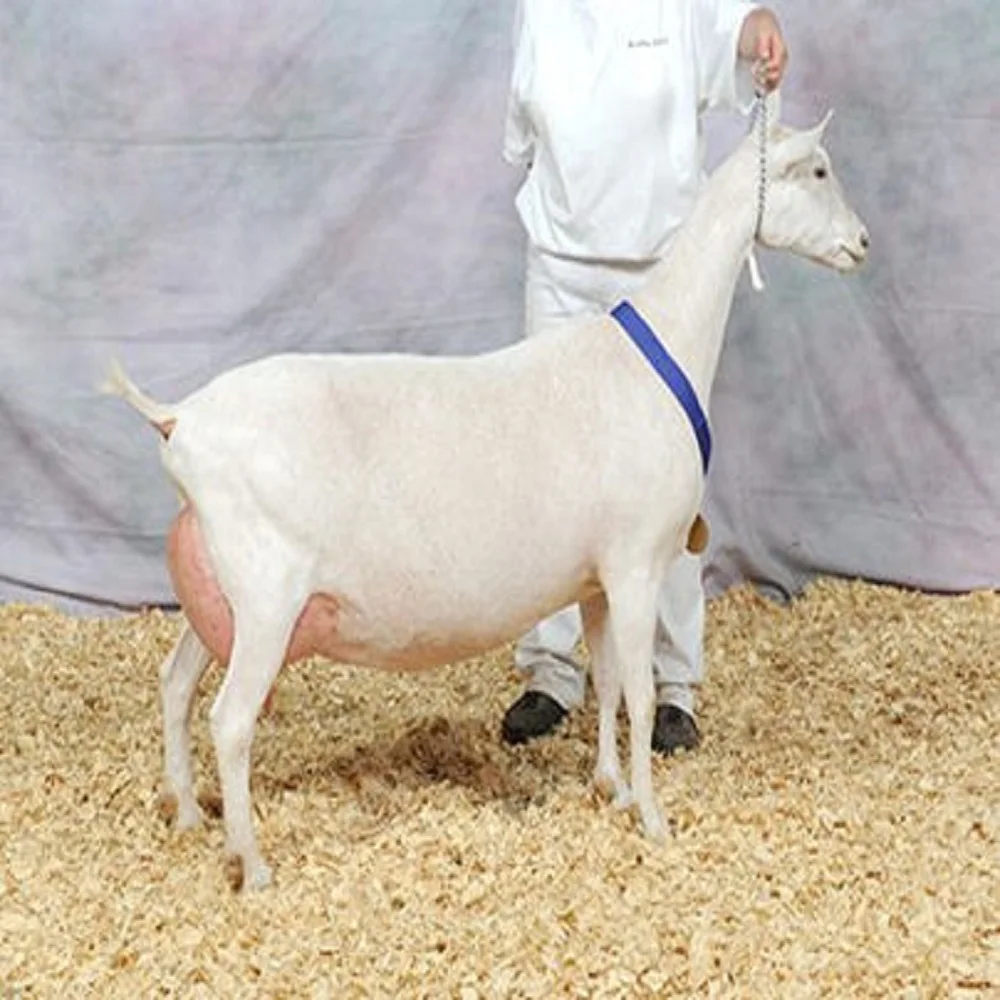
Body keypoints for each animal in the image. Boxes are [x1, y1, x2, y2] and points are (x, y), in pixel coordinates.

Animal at [105, 96, 869, 892]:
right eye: (818, 170)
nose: (862, 243)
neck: (658, 351)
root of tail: (181, 419)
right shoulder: (635, 563)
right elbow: (639, 688)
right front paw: (654, 819)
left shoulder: (596, 577)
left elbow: (608, 682)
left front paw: (610, 787)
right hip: (267, 597)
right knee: (229, 719)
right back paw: (251, 864)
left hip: (221, 593)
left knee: (173, 683)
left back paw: (187, 813)